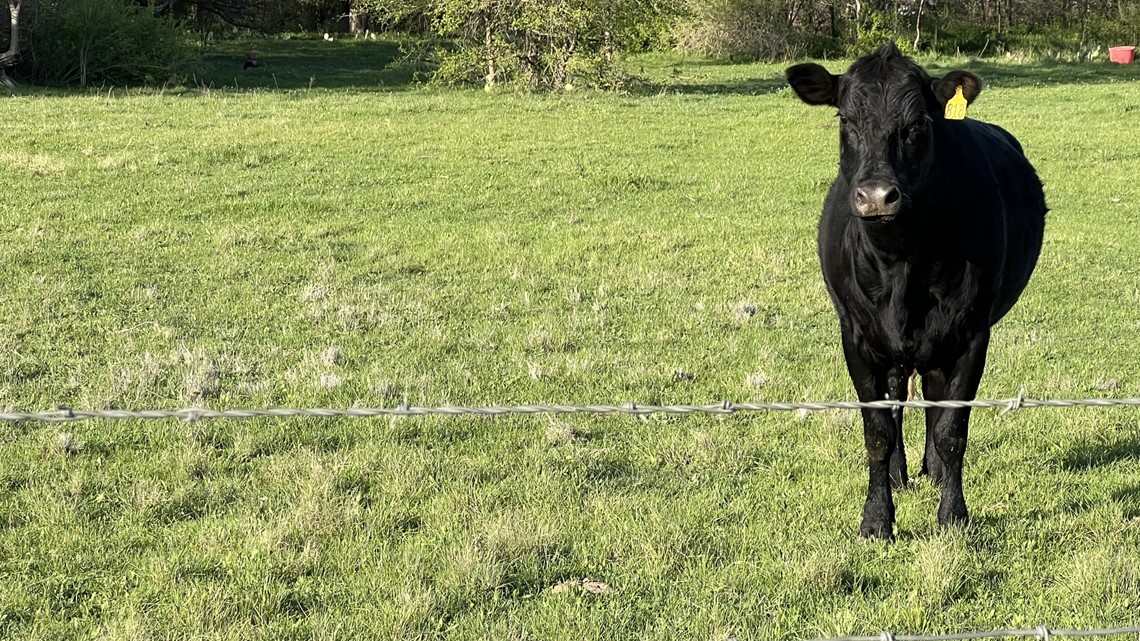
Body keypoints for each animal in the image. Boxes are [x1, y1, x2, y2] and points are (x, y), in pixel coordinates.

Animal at [785, 42, 1046, 540]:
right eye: (845, 119)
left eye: (919, 123)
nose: (876, 196)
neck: (901, 264)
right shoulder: (856, 336)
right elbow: (877, 432)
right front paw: (876, 520)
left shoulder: (972, 335)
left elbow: (951, 431)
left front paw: (953, 516)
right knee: (899, 401)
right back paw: (898, 475)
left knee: (931, 396)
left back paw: (933, 473)